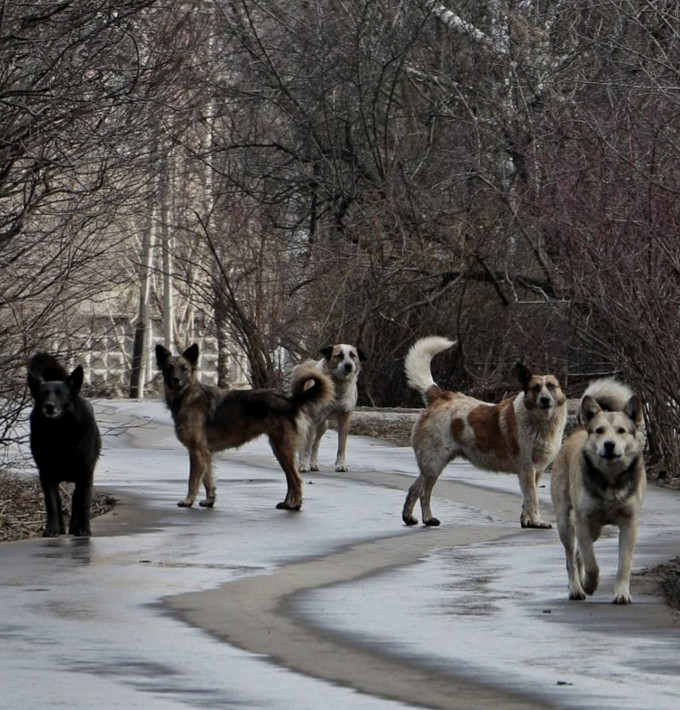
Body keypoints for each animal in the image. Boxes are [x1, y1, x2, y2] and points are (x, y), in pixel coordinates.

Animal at [27, 354, 101, 536]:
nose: (49, 406)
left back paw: (75, 526)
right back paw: (60, 527)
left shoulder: (85, 473)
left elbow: (83, 503)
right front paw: (52, 529)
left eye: (61, 394)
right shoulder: (46, 474)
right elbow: (52, 504)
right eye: (43, 394)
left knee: (77, 500)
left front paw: (83, 528)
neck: (60, 432)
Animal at [155, 344, 334, 512]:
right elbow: (208, 479)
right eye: (168, 368)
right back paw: (287, 503)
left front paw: (188, 501)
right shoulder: (205, 453)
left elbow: (192, 480)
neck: (187, 395)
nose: (176, 380)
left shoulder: (196, 451)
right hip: (279, 449)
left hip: (282, 448)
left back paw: (295, 505)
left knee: (296, 479)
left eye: (184, 368)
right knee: (291, 480)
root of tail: (290, 400)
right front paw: (209, 500)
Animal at [292, 344, 366, 472]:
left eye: (353, 355)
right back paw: (302, 462)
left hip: (323, 425)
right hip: (306, 421)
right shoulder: (313, 419)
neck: (338, 386)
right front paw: (304, 465)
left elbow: (341, 446)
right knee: (305, 443)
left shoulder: (345, 418)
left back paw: (313, 464)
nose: (348, 365)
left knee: (316, 444)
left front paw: (341, 465)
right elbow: (306, 447)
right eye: (339, 355)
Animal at [402, 338, 564, 528]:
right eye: (536, 388)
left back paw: (409, 517)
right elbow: (533, 499)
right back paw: (428, 519)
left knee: (414, 488)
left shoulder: (536, 472)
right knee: (424, 492)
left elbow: (527, 499)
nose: (545, 400)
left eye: (552, 387)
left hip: (431, 465)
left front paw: (527, 521)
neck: (541, 422)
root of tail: (441, 396)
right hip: (435, 464)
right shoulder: (527, 468)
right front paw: (537, 521)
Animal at [548, 378, 644, 608]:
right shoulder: (582, 520)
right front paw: (590, 585)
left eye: (621, 430)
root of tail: (578, 431)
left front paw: (621, 593)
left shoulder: (629, 522)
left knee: (577, 553)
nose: (609, 445)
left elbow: (624, 563)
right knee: (571, 556)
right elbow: (591, 563)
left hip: (595, 530)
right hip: (566, 522)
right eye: (599, 430)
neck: (610, 480)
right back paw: (576, 587)